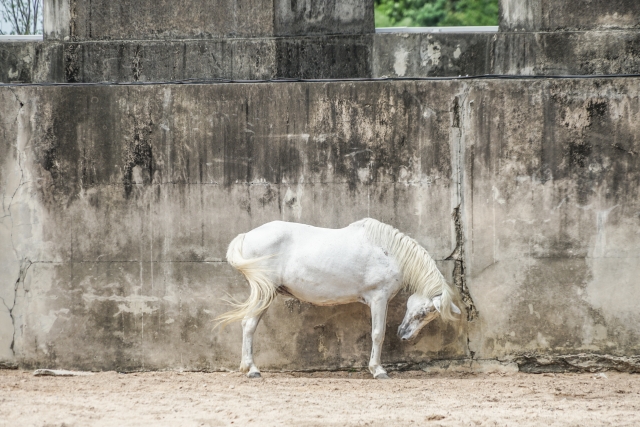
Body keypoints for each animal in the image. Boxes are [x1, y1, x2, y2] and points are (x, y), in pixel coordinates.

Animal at [218, 219, 462, 380]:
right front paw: (378, 370)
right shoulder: (379, 298)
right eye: (425, 313)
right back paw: (252, 370)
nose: (404, 335)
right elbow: (378, 334)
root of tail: (247, 235)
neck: (389, 252)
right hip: (264, 293)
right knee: (249, 325)